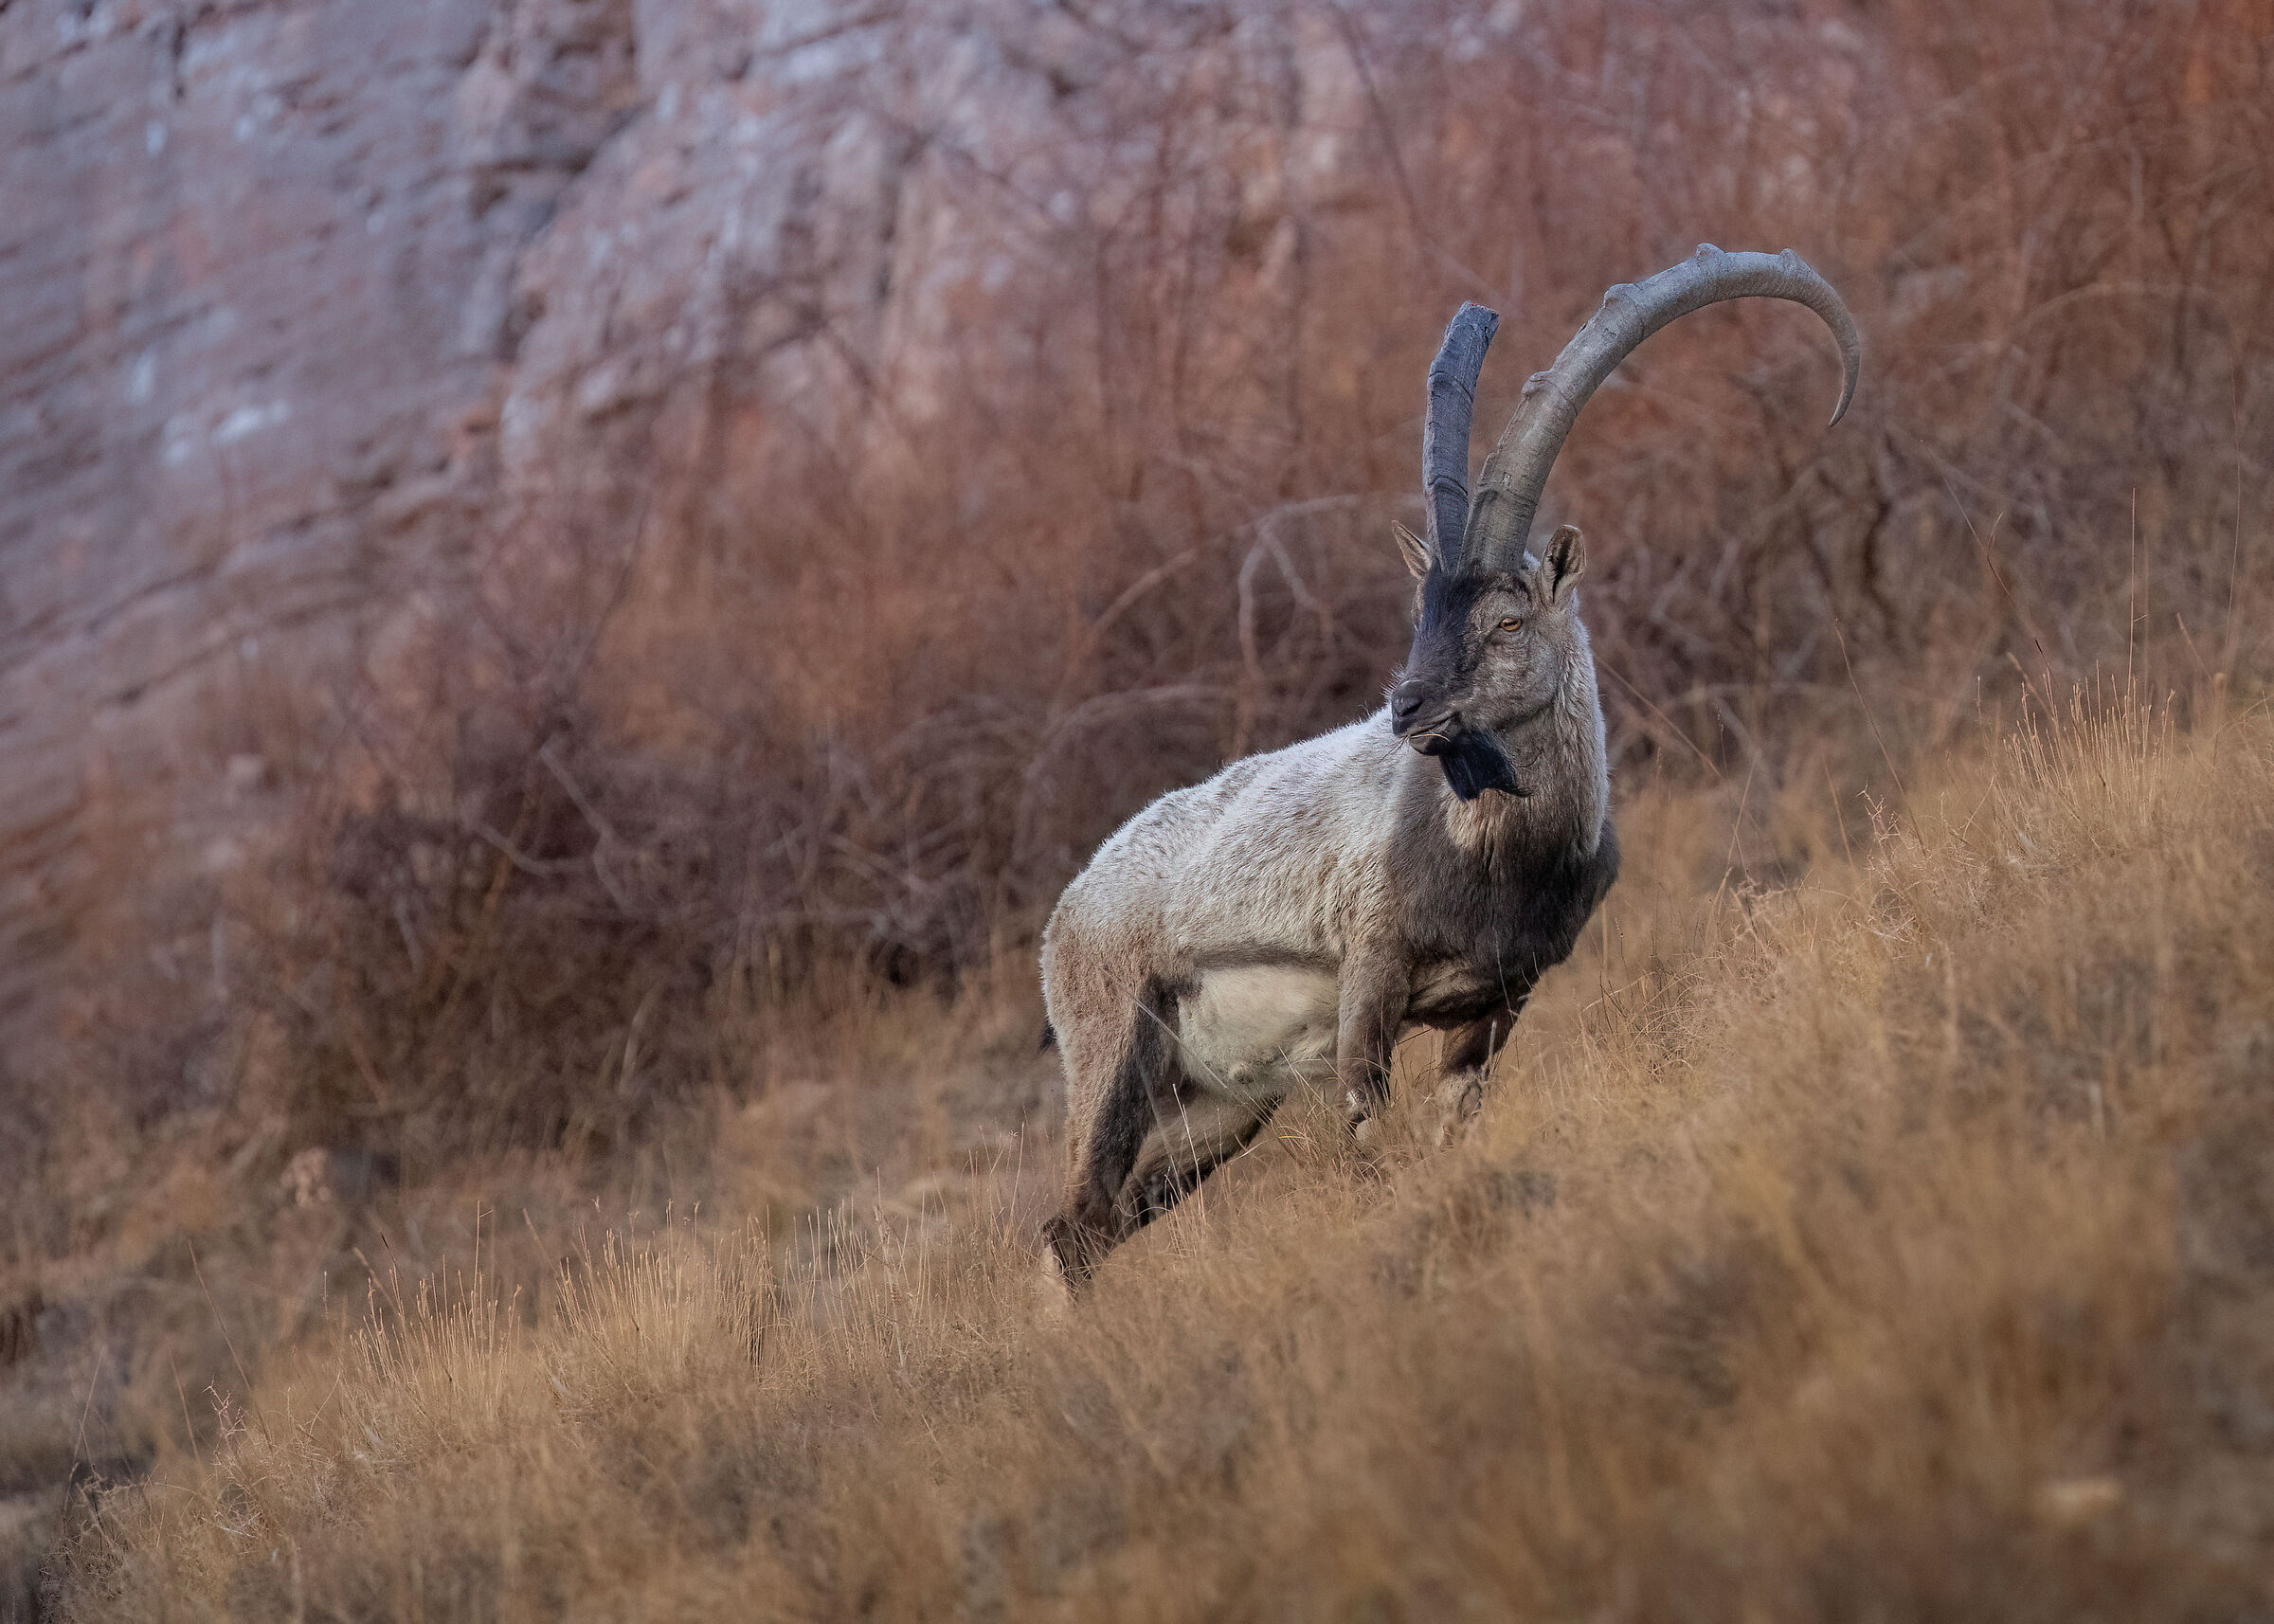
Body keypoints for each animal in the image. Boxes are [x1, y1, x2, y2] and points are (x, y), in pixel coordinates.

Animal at [1039, 246, 1861, 1285]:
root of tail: (1068, 912)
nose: (1408, 707)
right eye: (1422, 609)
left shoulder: (1498, 1005)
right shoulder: (1370, 983)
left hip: (1220, 1107)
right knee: (1074, 1223)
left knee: (1105, 1222)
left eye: (1506, 621)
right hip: (1114, 1053)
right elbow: (1366, 1138)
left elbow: (1446, 1133)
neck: (1497, 862)